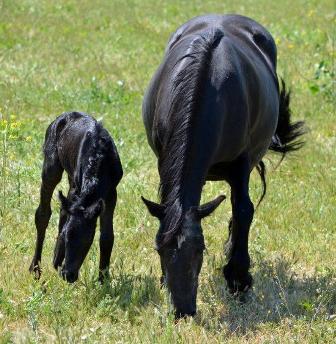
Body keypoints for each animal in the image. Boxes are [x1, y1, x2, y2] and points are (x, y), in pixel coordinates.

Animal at [29, 112, 122, 282]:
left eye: (87, 240)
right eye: (66, 238)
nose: (68, 275)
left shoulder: (111, 193)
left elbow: (106, 236)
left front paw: (103, 279)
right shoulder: (77, 189)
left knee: (62, 210)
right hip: (52, 166)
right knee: (43, 214)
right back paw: (36, 268)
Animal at [142, 14, 304, 318]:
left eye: (200, 251)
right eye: (160, 250)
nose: (183, 311)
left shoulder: (241, 165)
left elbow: (243, 211)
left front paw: (238, 280)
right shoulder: (163, 160)